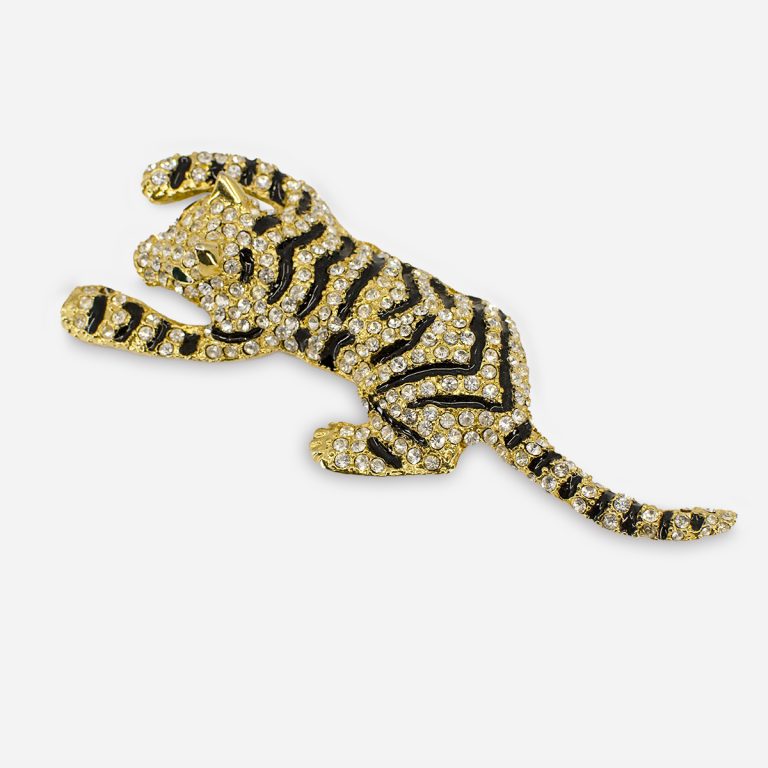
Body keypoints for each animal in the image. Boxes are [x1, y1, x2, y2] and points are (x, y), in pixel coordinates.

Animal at [60, 151, 736, 541]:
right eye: (178, 223)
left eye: (178, 270)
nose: (138, 254)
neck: (278, 248)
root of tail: (512, 406)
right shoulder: (317, 212)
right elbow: (268, 172)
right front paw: (166, 174)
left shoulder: (240, 336)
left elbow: (153, 328)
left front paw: (86, 304)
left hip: (404, 400)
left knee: (429, 457)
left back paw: (337, 442)